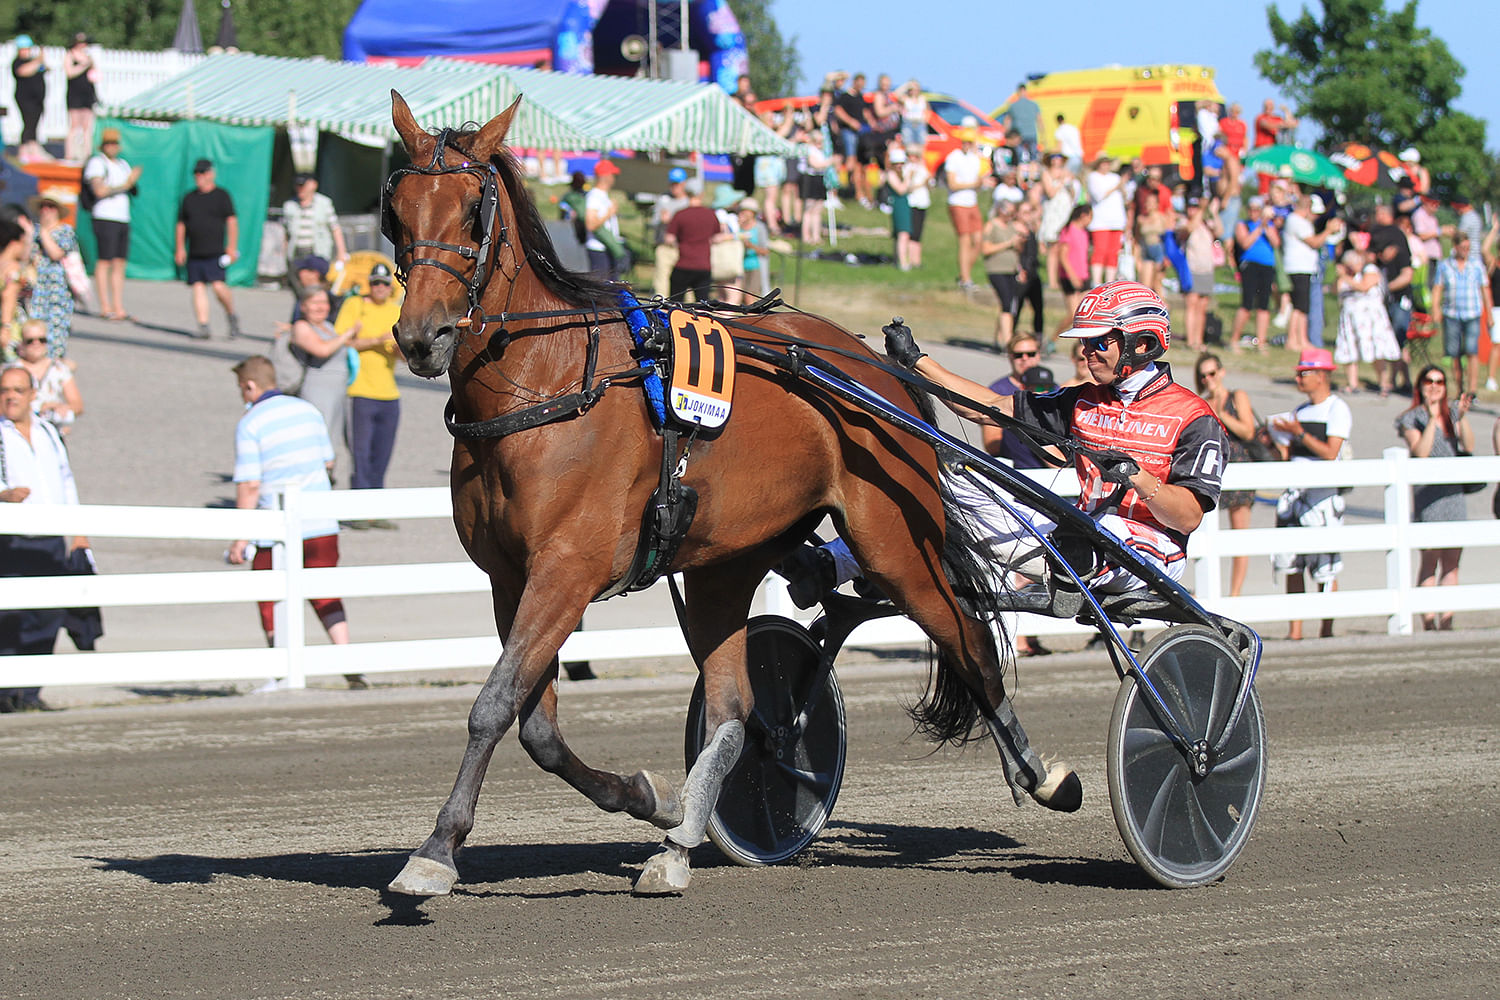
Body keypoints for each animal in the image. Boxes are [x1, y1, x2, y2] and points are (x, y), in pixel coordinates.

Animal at [381, 89, 1074, 893]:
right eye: (397, 210)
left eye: (472, 211)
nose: (422, 337)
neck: (547, 383)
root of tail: (871, 365)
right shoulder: (510, 577)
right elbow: (537, 726)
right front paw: (646, 798)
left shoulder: (568, 567)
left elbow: (493, 706)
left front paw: (435, 851)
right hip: (727, 560)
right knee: (736, 710)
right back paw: (681, 838)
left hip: (896, 540)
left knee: (968, 639)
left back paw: (1042, 774)